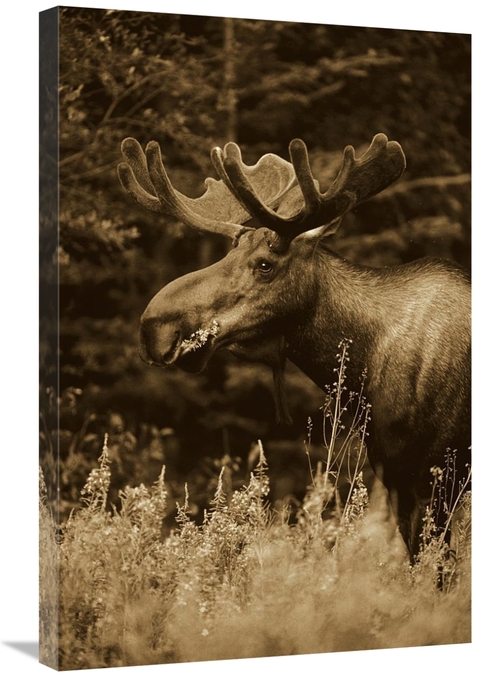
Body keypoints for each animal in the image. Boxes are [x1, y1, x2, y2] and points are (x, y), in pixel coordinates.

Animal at [117, 133, 471, 561]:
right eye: (229, 253)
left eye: (265, 264)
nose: (154, 327)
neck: (365, 370)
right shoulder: (396, 477)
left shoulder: (438, 476)